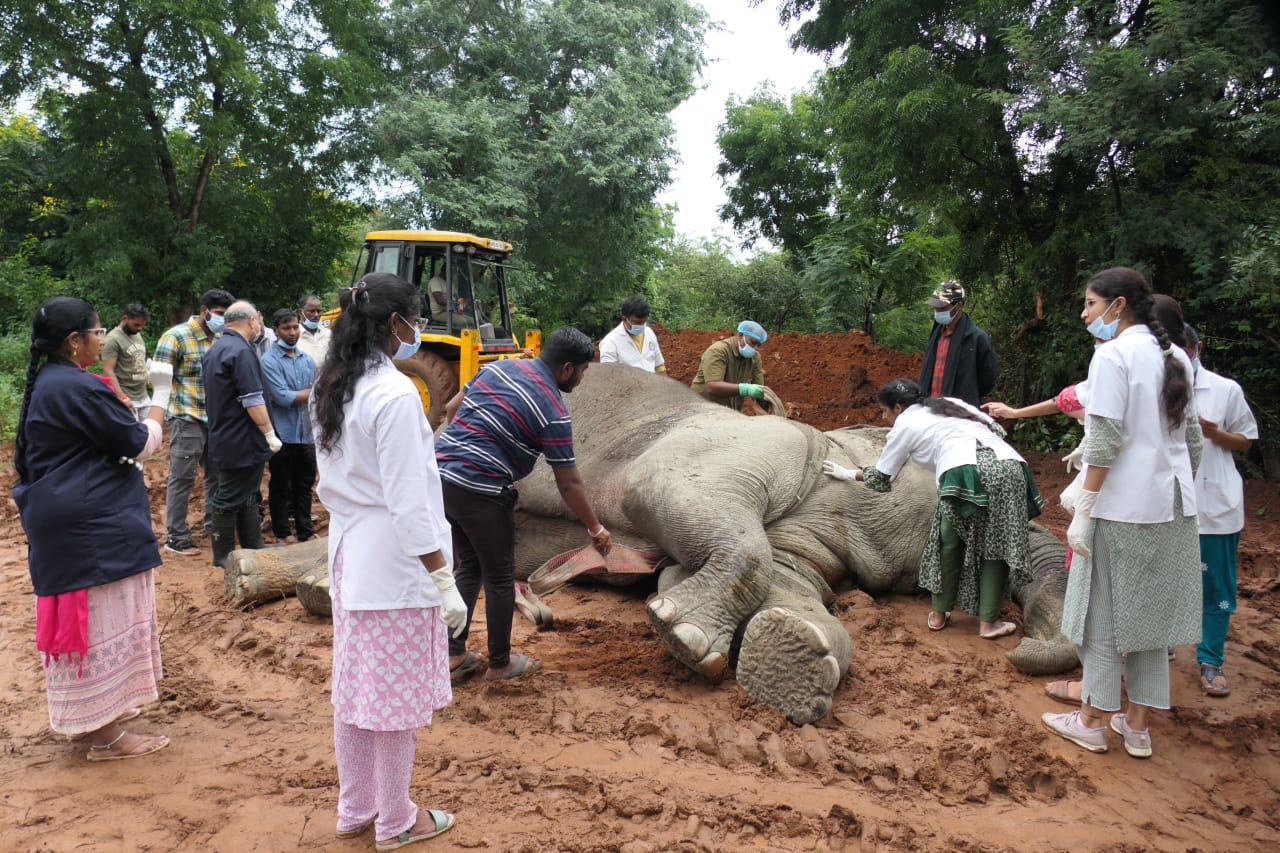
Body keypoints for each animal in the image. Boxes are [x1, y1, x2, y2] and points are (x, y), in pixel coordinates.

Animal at [509, 363, 1075, 725]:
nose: (1020, 645)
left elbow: (783, 578)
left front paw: (789, 653)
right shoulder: (767, 445)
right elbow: (688, 512)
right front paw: (682, 633)